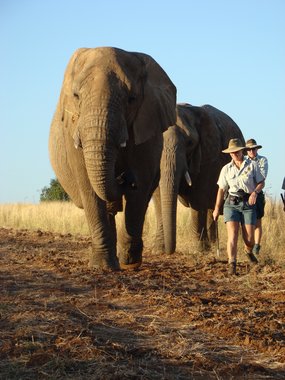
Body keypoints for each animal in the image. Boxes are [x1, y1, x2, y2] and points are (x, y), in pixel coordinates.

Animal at [48, 46, 175, 268]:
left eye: (131, 99)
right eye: (76, 96)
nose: (123, 177)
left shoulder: (147, 129)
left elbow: (139, 189)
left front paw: (130, 263)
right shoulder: (73, 131)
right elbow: (89, 187)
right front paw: (102, 266)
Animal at [153, 102, 244, 254]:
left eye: (190, 143)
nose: (170, 251)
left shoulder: (208, 155)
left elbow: (198, 197)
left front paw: (199, 250)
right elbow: (158, 195)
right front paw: (158, 249)